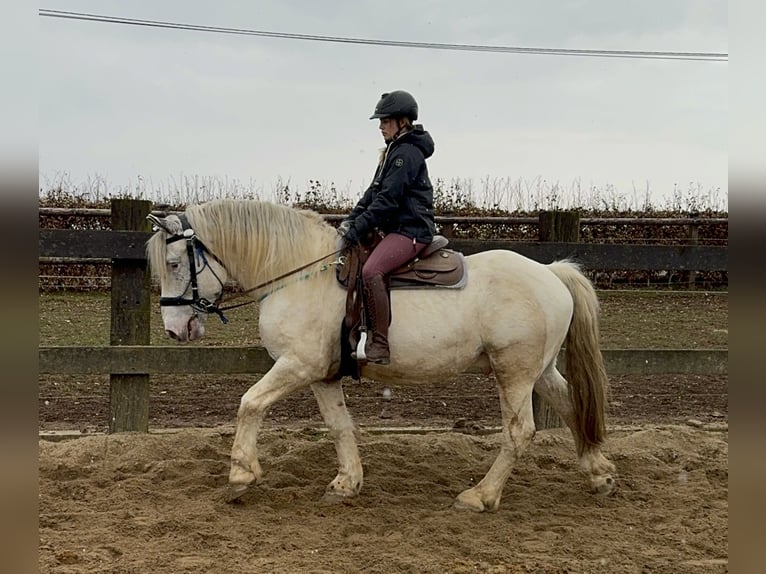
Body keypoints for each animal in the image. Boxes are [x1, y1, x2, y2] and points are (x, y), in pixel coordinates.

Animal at [148, 199, 616, 512]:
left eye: (173, 263)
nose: (174, 329)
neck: (301, 274)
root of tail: (551, 272)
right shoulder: (322, 375)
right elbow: (339, 426)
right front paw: (346, 484)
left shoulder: (298, 366)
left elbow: (249, 404)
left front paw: (240, 476)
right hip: (540, 370)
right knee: (572, 406)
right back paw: (599, 472)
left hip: (514, 373)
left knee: (520, 432)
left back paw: (480, 496)